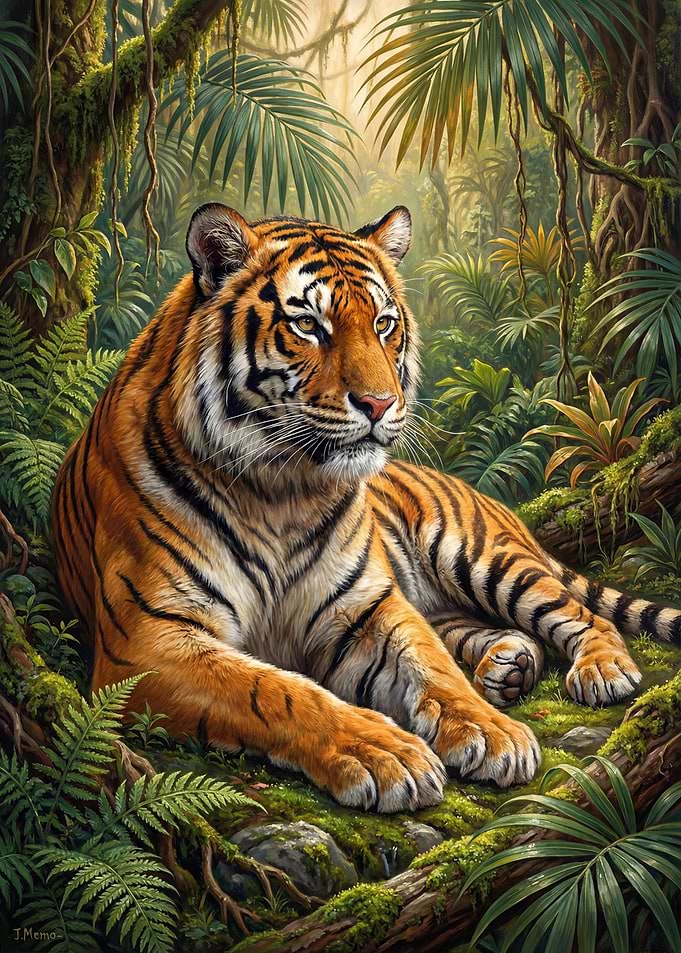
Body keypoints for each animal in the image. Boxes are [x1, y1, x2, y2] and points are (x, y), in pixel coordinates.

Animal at [52, 203, 681, 812]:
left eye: (384, 324)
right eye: (308, 324)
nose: (380, 404)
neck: (281, 491)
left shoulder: (365, 607)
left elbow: (433, 668)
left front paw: (492, 731)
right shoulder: (149, 640)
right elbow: (277, 691)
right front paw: (384, 753)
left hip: (478, 555)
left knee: (584, 615)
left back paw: (601, 670)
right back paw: (510, 666)